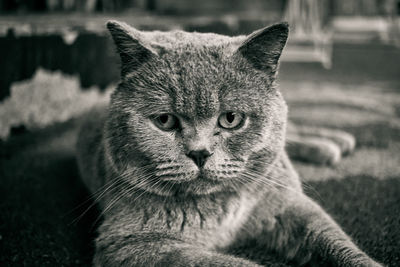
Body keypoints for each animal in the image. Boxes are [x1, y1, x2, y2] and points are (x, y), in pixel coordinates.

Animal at [76, 19, 382, 266]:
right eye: (164, 120)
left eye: (231, 119)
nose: (199, 153)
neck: (220, 206)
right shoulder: (130, 243)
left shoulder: (289, 204)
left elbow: (334, 240)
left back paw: (336, 142)